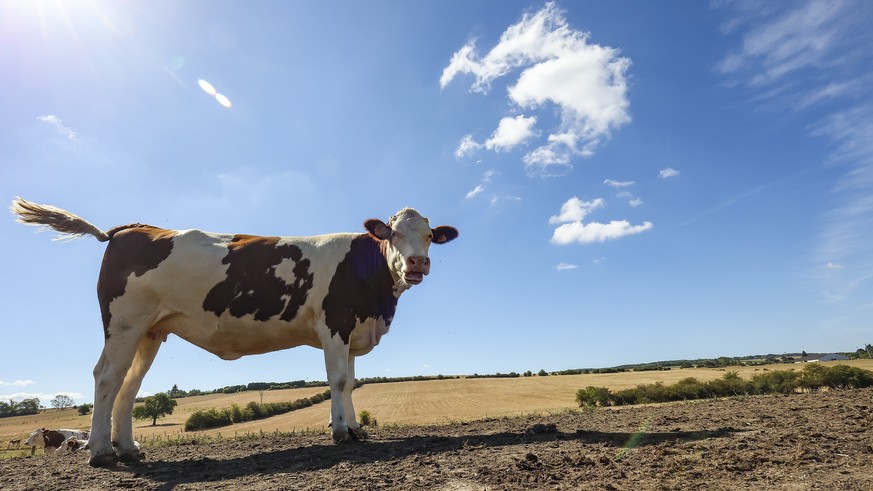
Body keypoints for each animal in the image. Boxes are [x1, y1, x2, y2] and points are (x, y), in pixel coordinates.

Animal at [11, 198, 456, 468]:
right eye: (393, 234)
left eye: (430, 236)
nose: (417, 263)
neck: (376, 301)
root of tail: (130, 228)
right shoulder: (334, 324)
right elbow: (339, 380)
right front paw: (341, 432)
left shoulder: (351, 329)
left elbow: (351, 382)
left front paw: (357, 429)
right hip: (124, 323)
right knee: (107, 378)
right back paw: (102, 452)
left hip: (149, 331)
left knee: (126, 384)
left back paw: (128, 449)